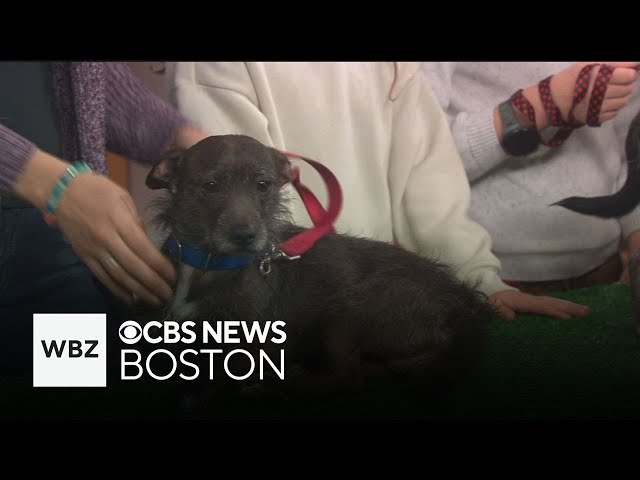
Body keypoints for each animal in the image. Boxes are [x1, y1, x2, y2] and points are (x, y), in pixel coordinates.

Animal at [145, 134, 496, 404]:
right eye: (210, 185)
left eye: (263, 185)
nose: (246, 235)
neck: (207, 263)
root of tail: (464, 303)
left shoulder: (252, 343)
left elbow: (214, 376)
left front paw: (198, 394)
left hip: (349, 310)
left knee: (349, 379)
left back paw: (283, 387)